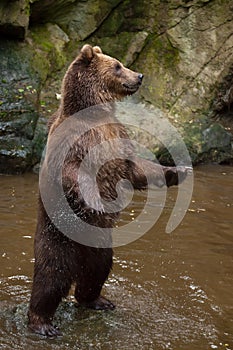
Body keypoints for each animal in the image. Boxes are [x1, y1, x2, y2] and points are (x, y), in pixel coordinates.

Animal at [27, 43, 187, 336]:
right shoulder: (73, 141)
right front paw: (96, 201)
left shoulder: (118, 137)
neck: (95, 112)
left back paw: (98, 301)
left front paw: (176, 172)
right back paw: (43, 323)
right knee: (51, 278)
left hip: (101, 247)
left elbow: (136, 169)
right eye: (117, 65)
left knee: (96, 273)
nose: (140, 76)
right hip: (58, 239)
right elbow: (72, 173)